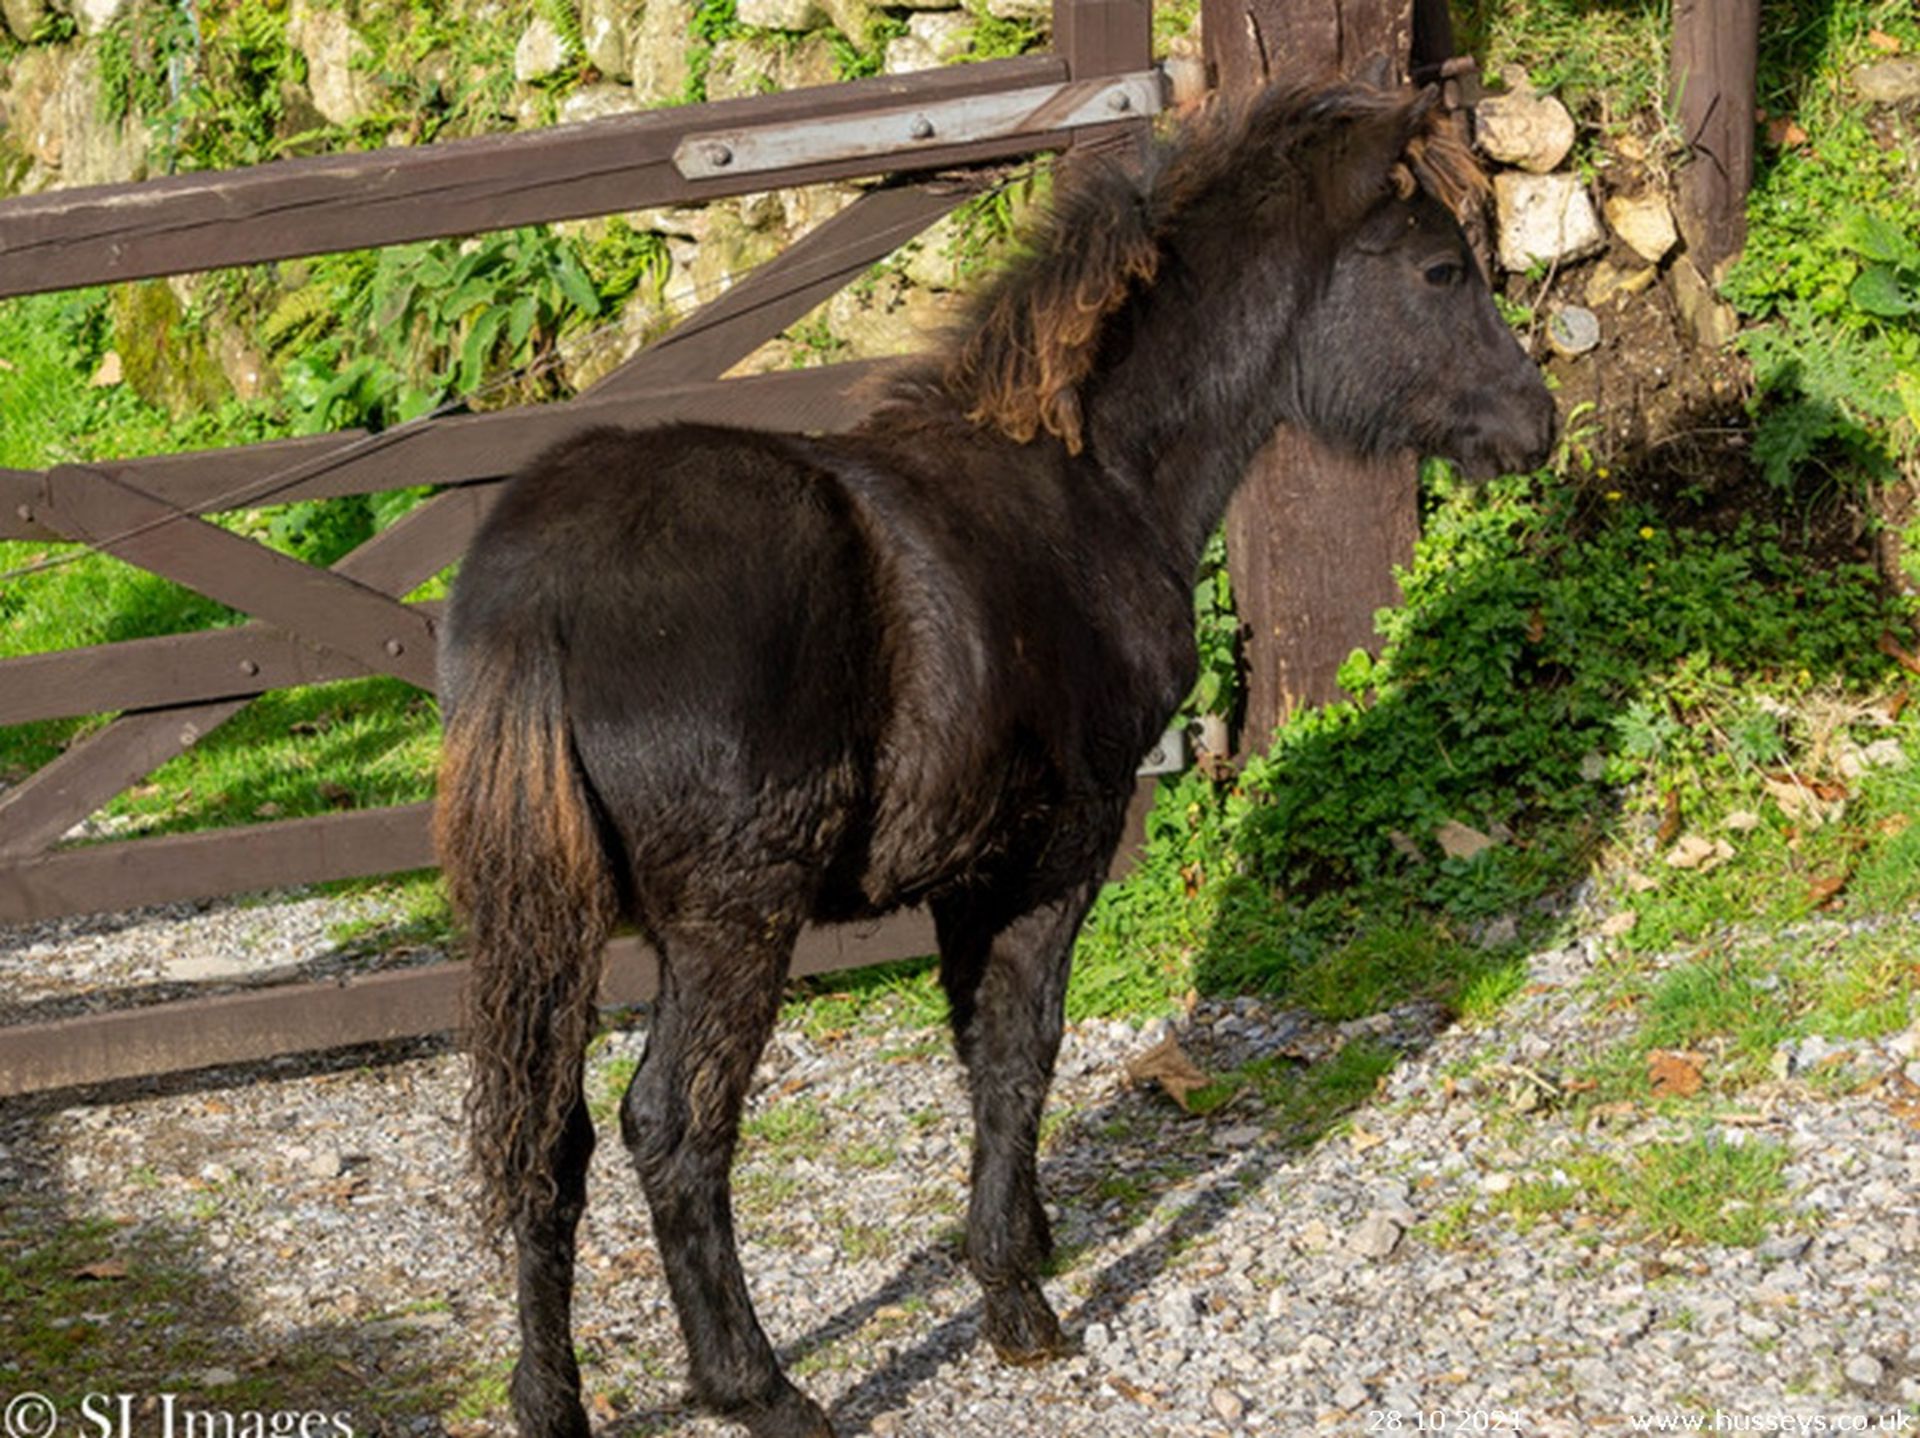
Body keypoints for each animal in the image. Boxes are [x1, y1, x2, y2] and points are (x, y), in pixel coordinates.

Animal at [439, 81, 1559, 1436]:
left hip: (549, 922)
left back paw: (550, 1398)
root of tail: (538, 592)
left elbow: (982, 1048)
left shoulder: (968, 868)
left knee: (546, 1138)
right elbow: (1025, 1048)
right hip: (732, 916)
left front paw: (1026, 1237)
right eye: (1442, 269)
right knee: (674, 1125)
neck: (1092, 482)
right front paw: (1017, 1297)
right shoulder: (1061, 845)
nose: (1539, 423)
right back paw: (760, 1385)